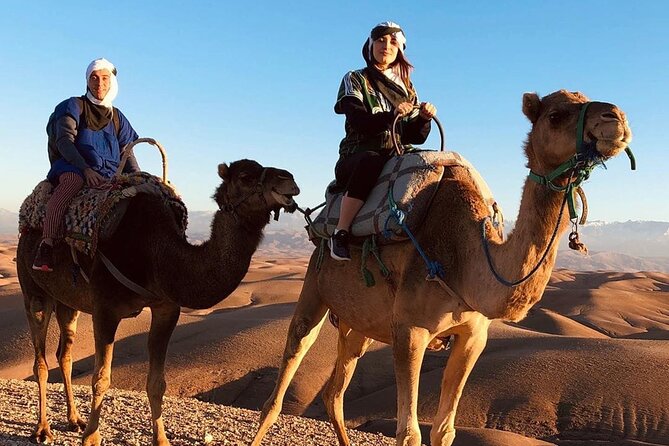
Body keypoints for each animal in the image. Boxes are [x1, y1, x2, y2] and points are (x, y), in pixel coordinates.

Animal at [16, 159, 299, 446]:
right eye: (245, 177)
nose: (289, 179)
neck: (157, 254)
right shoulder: (105, 308)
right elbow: (101, 378)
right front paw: (92, 438)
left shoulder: (166, 308)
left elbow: (156, 382)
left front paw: (161, 439)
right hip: (33, 290)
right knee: (40, 360)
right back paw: (42, 429)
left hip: (68, 302)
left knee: (65, 355)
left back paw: (74, 420)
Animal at [252, 90, 633, 446]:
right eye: (555, 115)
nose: (615, 118)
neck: (466, 260)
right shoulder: (410, 331)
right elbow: (409, 433)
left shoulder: (474, 336)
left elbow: (444, 430)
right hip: (314, 289)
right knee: (282, 381)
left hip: (358, 324)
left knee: (334, 393)